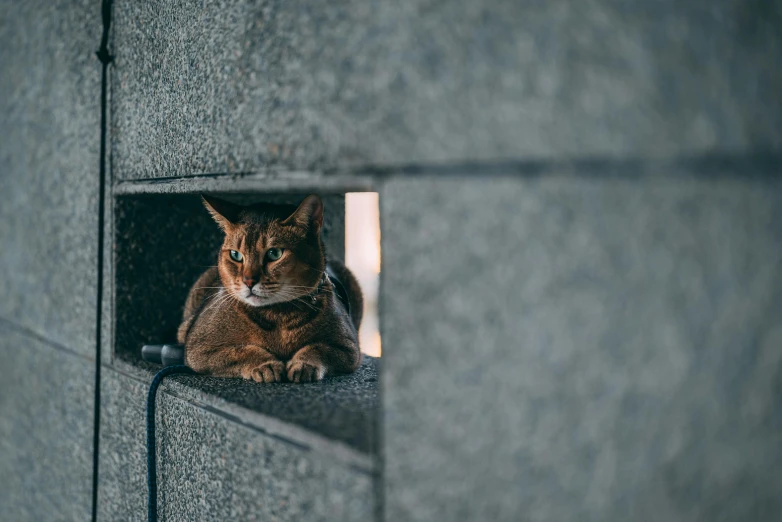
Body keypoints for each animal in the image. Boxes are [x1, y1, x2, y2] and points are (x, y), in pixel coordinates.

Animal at [178, 193, 364, 380]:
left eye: (275, 254)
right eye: (235, 255)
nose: (248, 281)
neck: (277, 316)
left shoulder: (348, 348)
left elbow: (318, 348)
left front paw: (304, 364)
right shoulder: (199, 347)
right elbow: (240, 351)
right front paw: (265, 365)